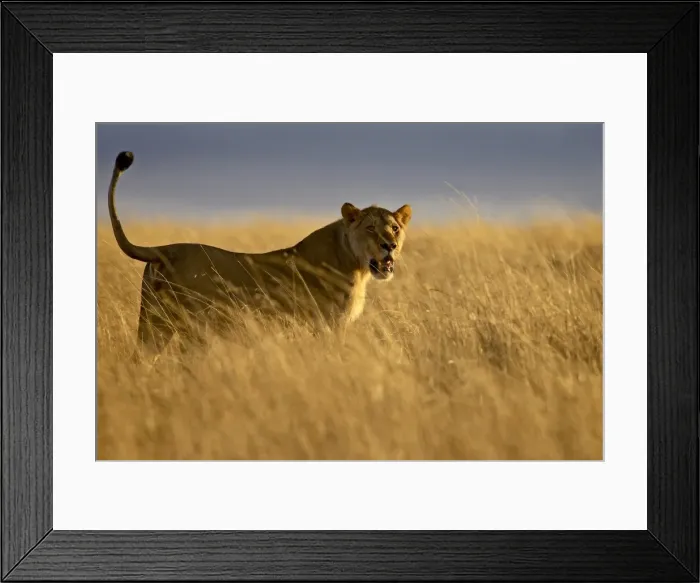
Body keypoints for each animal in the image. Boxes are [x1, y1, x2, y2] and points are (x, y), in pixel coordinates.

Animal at [106, 151, 413, 360]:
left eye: (395, 228)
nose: (389, 245)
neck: (355, 263)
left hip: (153, 325)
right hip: (189, 329)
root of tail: (164, 248)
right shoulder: (328, 325)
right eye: (371, 228)